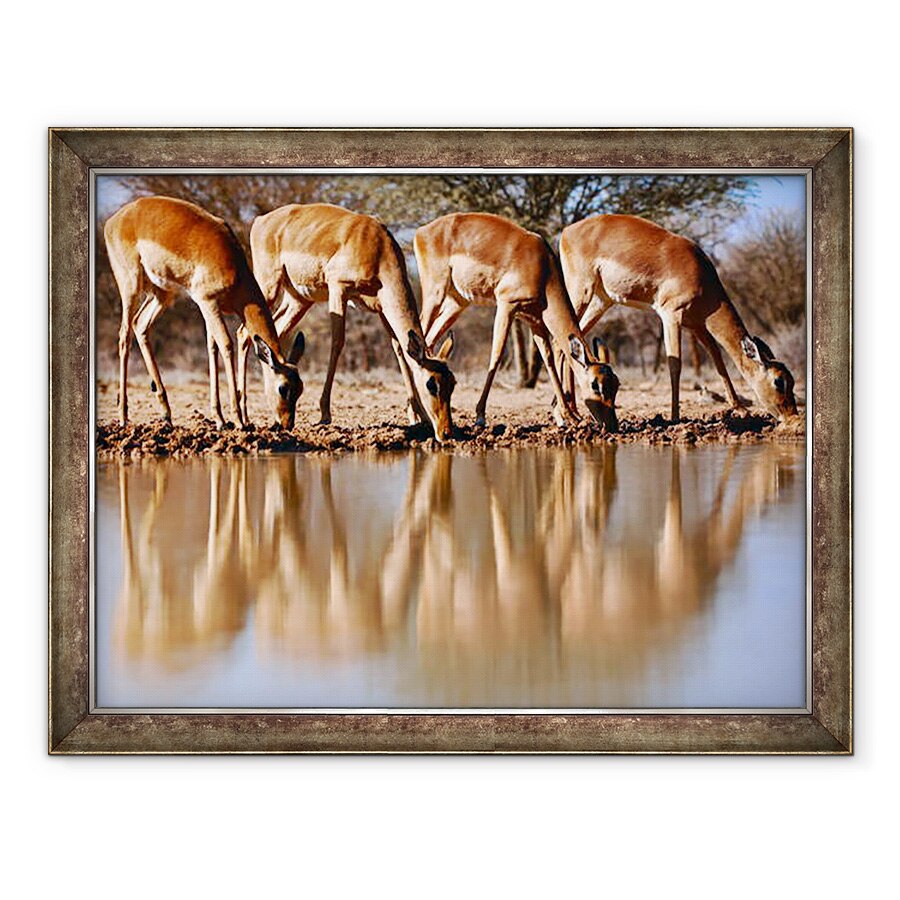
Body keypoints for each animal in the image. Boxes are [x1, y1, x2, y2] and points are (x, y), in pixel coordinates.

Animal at [104, 196, 305, 429]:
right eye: (283, 388)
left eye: (300, 388)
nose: (287, 424)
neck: (233, 266)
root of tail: (114, 219)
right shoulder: (208, 302)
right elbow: (226, 344)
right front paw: (238, 421)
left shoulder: (209, 307)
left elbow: (212, 348)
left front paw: (220, 419)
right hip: (131, 286)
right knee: (124, 336)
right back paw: (123, 417)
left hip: (163, 294)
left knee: (140, 324)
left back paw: (166, 414)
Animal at [239, 203, 456, 441]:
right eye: (431, 384)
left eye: (452, 383)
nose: (446, 432)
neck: (377, 248)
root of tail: (261, 220)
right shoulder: (338, 289)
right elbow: (337, 343)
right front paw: (325, 414)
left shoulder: (382, 307)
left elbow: (399, 349)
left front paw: (418, 417)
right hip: (267, 288)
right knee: (243, 333)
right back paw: (244, 417)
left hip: (299, 300)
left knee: (272, 334)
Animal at [414, 212, 619, 430]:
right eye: (595, 385)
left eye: (616, 384)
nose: (612, 425)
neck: (543, 269)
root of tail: (421, 231)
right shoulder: (506, 306)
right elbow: (496, 355)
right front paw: (480, 417)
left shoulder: (535, 321)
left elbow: (548, 360)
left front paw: (567, 417)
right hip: (435, 294)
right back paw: (416, 416)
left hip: (457, 303)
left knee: (429, 340)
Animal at [559, 214, 798, 423]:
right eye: (779, 381)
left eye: (792, 380)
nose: (792, 416)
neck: (701, 275)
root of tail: (567, 231)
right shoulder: (671, 314)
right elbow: (675, 364)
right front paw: (675, 417)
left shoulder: (697, 325)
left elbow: (717, 358)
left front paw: (739, 408)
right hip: (580, 292)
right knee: (557, 339)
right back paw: (569, 413)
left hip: (601, 302)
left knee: (570, 341)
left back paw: (573, 411)